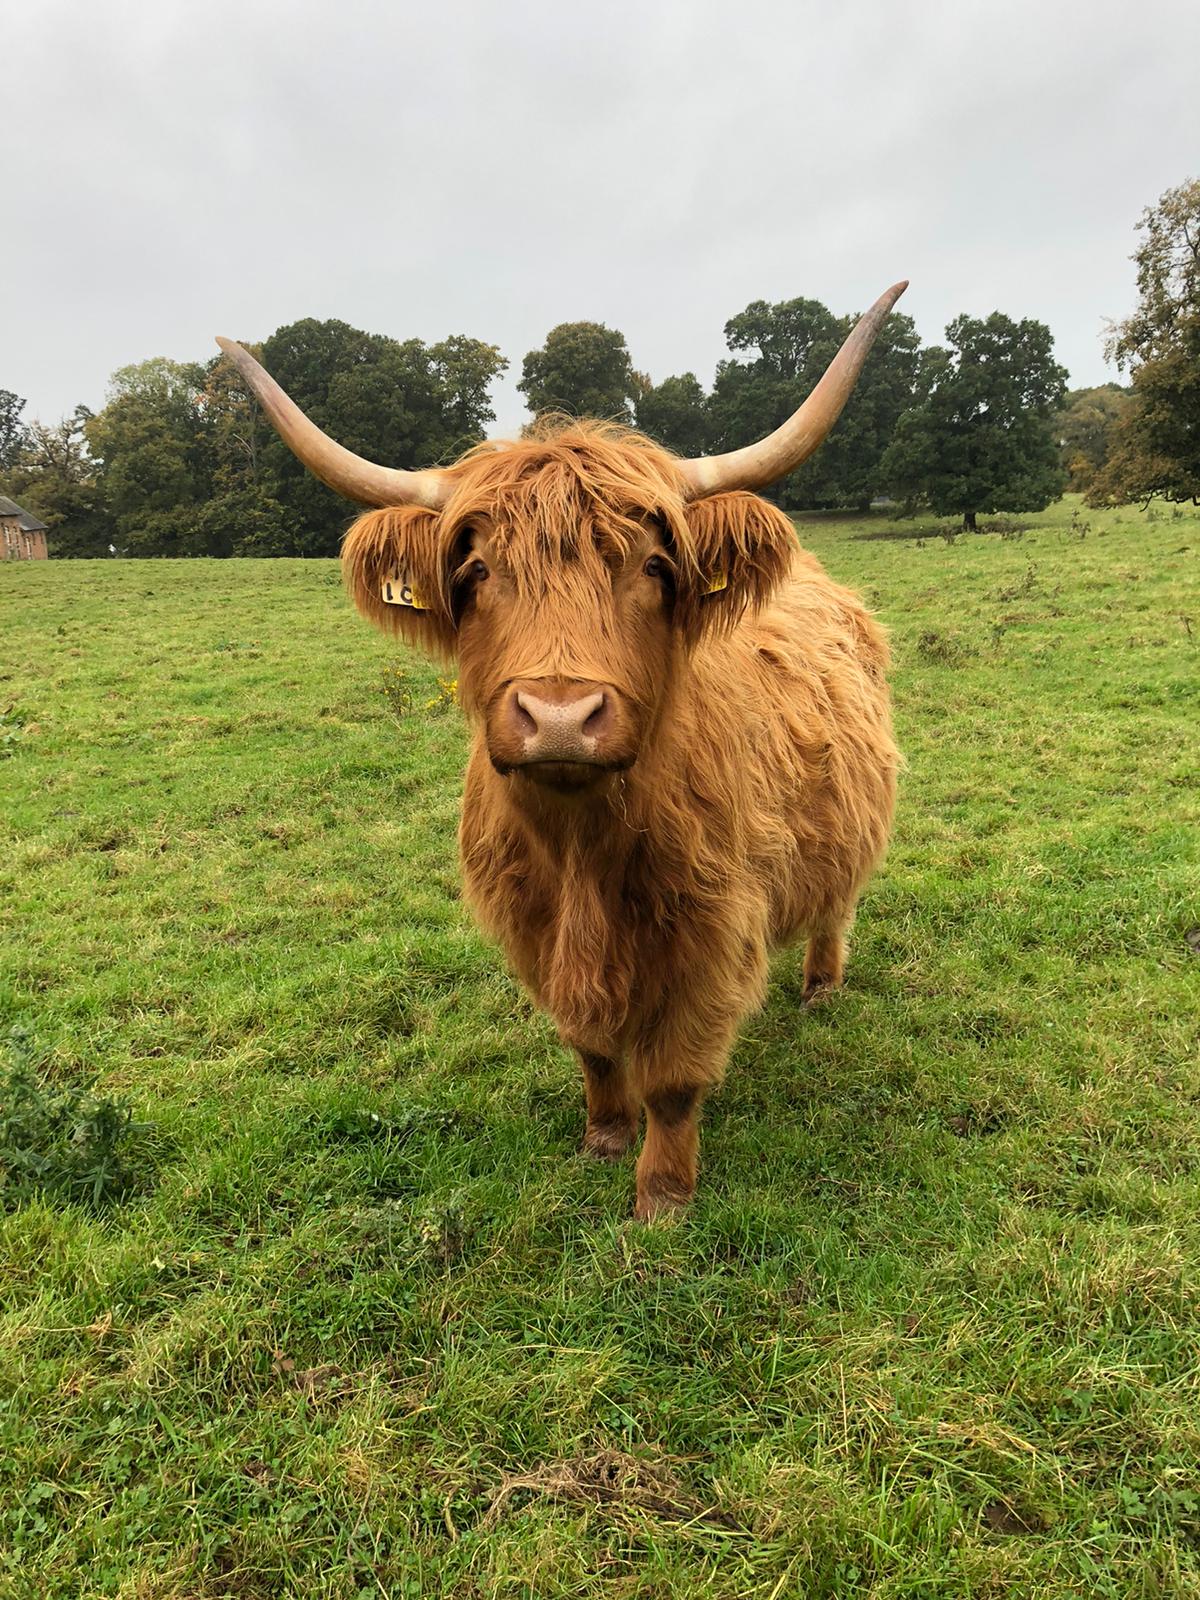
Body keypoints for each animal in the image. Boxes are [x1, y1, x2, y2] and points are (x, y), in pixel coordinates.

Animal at [220, 284, 908, 1209]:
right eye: (474, 572)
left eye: (654, 565)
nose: (557, 716)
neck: (582, 851)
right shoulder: (532, 930)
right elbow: (591, 1049)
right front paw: (603, 1139)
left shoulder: (710, 933)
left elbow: (674, 1079)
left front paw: (662, 1196)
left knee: (837, 901)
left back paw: (823, 990)